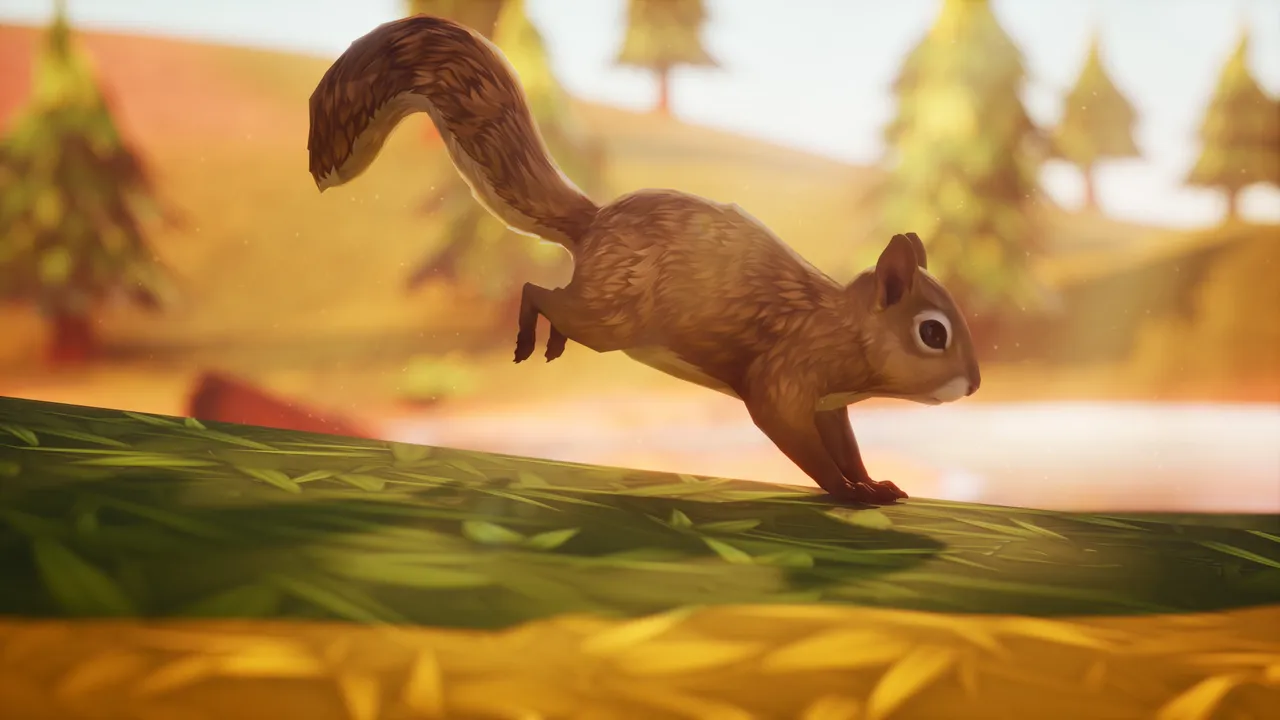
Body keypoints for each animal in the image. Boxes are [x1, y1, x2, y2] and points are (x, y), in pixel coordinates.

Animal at [307, 15, 982, 505]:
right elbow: (797, 441)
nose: (974, 385)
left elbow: (845, 445)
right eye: (932, 332)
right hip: (615, 313)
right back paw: (532, 337)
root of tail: (596, 224)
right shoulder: (785, 376)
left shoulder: (830, 403)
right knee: (539, 292)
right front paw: (847, 494)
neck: (839, 327)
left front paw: (873, 483)